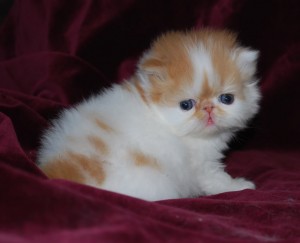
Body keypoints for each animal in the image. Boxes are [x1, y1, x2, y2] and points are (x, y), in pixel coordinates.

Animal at [37, 28, 260, 200]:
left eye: (227, 99)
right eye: (186, 105)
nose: (208, 108)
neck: (159, 115)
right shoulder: (200, 165)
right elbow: (217, 180)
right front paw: (241, 186)